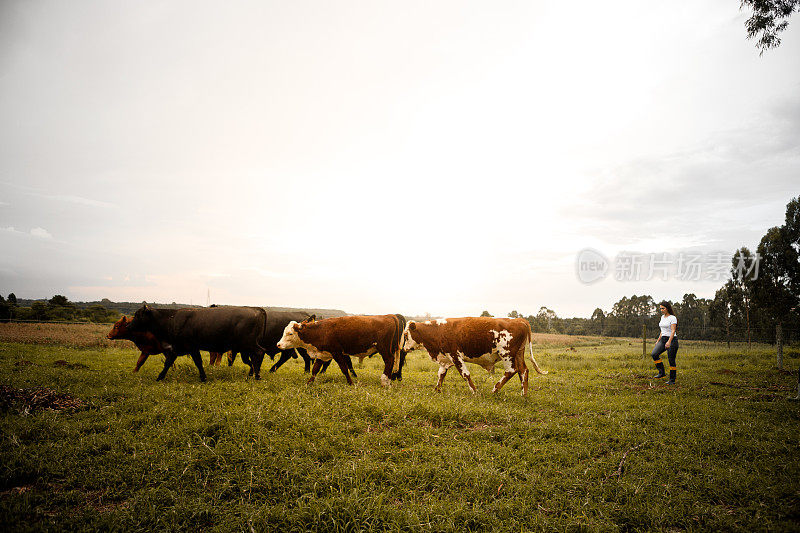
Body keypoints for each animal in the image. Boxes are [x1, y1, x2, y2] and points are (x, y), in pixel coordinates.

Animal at [278, 312, 410, 386]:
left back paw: (384, 381)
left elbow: (344, 369)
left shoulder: (337, 353)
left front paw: (350, 383)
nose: (278, 344)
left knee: (389, 361)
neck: (321, 331)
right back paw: (388, 381)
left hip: (384, 349)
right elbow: (315, 370)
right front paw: (308, 383)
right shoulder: (322, 354)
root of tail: (391, 316)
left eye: (290, 333)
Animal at [404, 316, 548, 394]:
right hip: (518, 353)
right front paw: (437, 390)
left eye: (405, 335)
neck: (438, 330)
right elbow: (441, 375)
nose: (404, 348)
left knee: (511, 371)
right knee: (523, 371)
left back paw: (494, 390)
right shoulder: (445, 358)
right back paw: (523, 394)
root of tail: (519, 320)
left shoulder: (455, 355)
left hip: (507, 354)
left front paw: (474, 391)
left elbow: (465, 374)